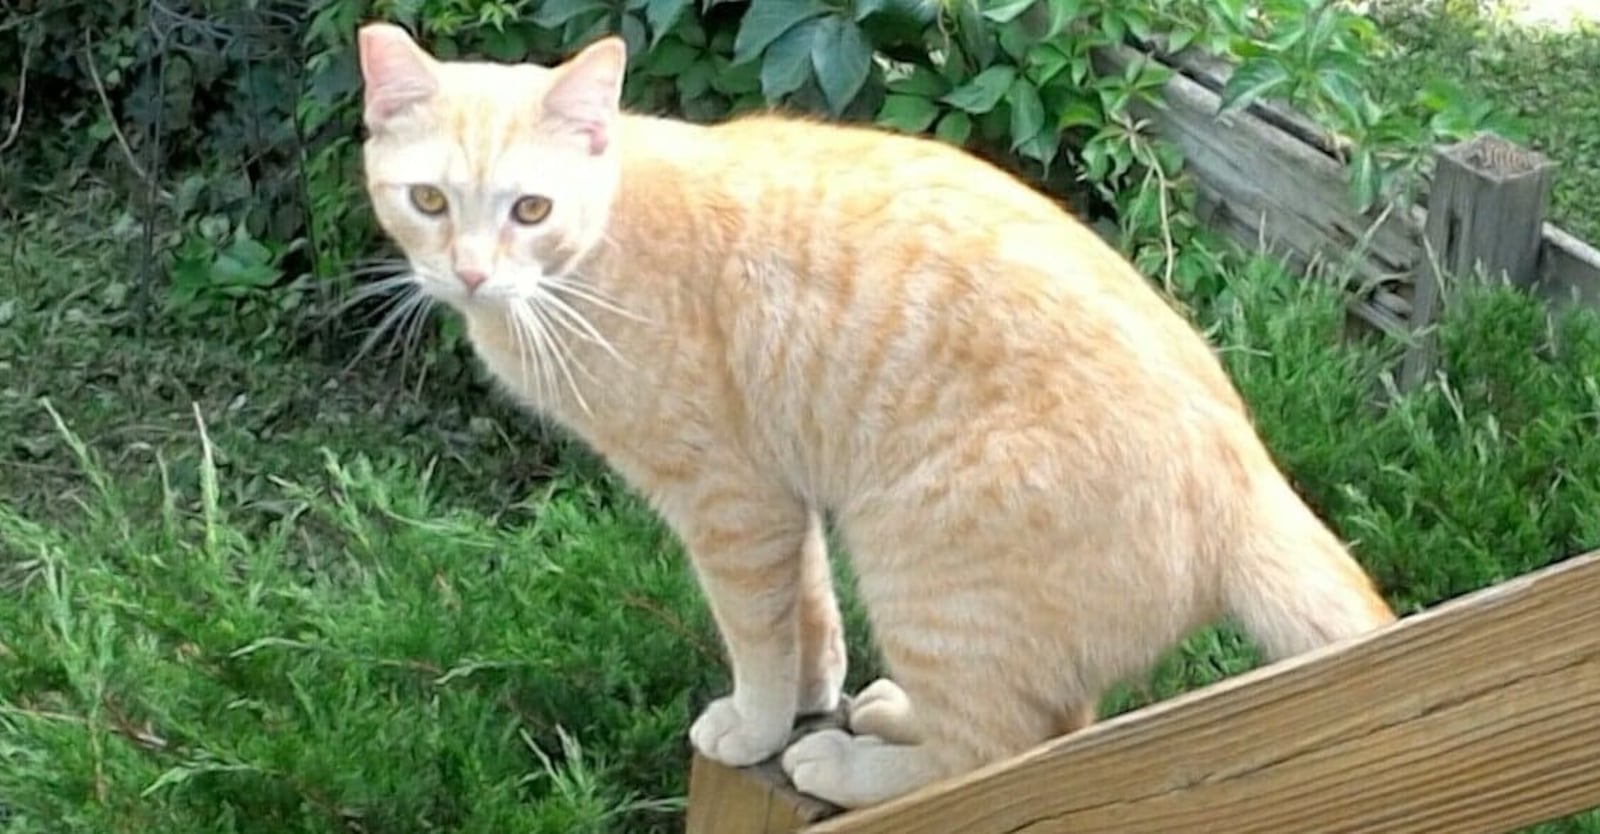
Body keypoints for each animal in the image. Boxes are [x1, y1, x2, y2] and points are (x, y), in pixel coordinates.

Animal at [356, 22, 1395, 809]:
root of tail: (1248, 478)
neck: (593, 257)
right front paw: (815, 692)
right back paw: (884, 715)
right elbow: (808, 613)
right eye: (429, 201)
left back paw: (850, 765)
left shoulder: (730, 503)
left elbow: (757, 634)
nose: (471, 273)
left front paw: (761, 726)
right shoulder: (781, 496)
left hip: (921, 567)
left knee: (999, 754)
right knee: (1050, 726)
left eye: (530, 209)